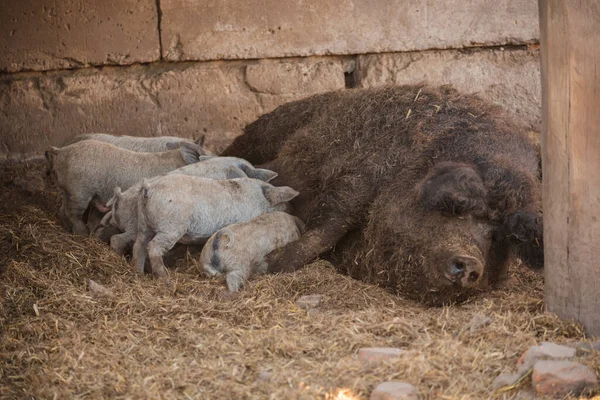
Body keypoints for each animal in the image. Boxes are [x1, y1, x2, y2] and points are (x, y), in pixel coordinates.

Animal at [44, 140, 206, 236]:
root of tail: (62, 150)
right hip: (80, 190)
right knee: (73, 214)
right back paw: (82, 234)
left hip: (67, 190)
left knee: (63, 210)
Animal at [132, 177, 298, 280]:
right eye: (283, 202)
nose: (292, 208)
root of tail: (149, 188)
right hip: (171, 227)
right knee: (153, 247)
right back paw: (166, 278)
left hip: (143, 223)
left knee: (138, 246)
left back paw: (138, 273)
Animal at [223, 83, 548, 304]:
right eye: (457, 209)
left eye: (499, 236)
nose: (470, 263)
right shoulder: (360, 177)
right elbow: (328, 226)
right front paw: (267, 265)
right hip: (268, 133)